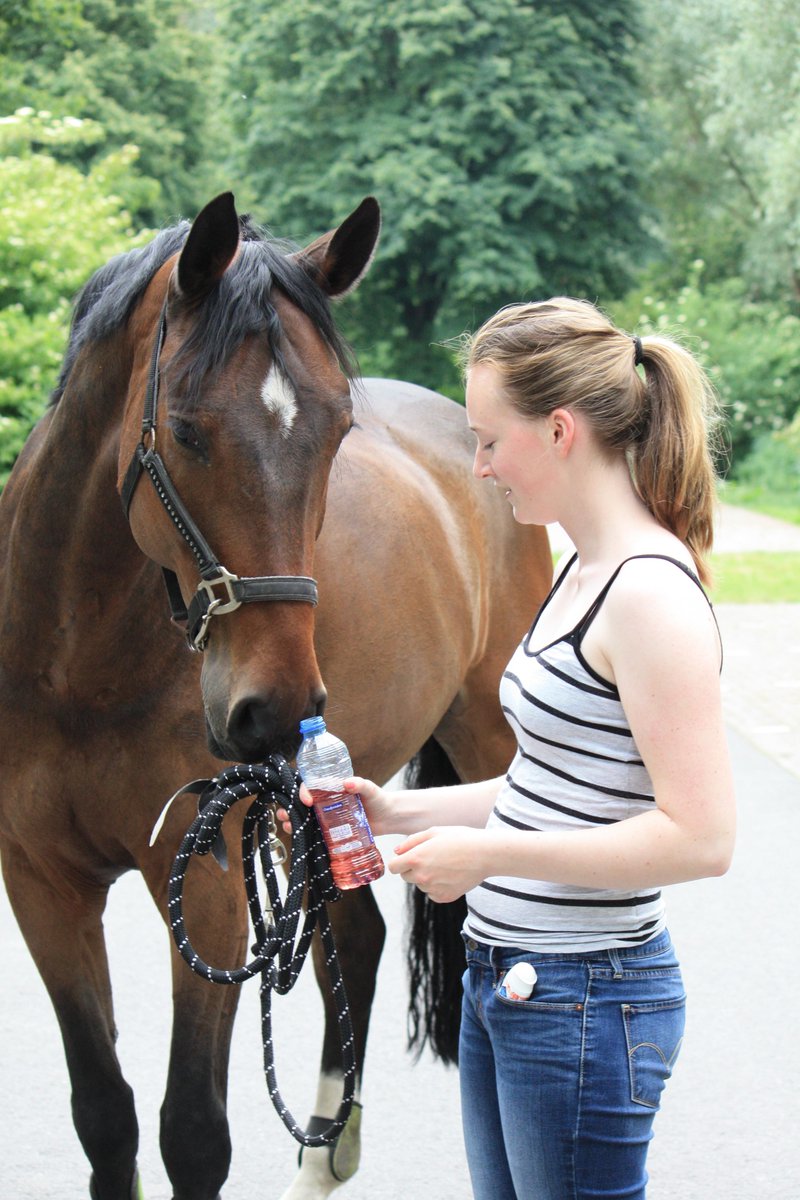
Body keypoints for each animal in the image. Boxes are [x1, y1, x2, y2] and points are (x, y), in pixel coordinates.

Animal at [0, 192, 553, 1200]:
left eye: (335, 433)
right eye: (185, 430)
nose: (273, 705)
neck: (76, 664)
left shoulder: (212, 884)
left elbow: (192, 1130)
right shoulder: (41, 882)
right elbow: (104, 1114)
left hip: (486, 747)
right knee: (357, 940)